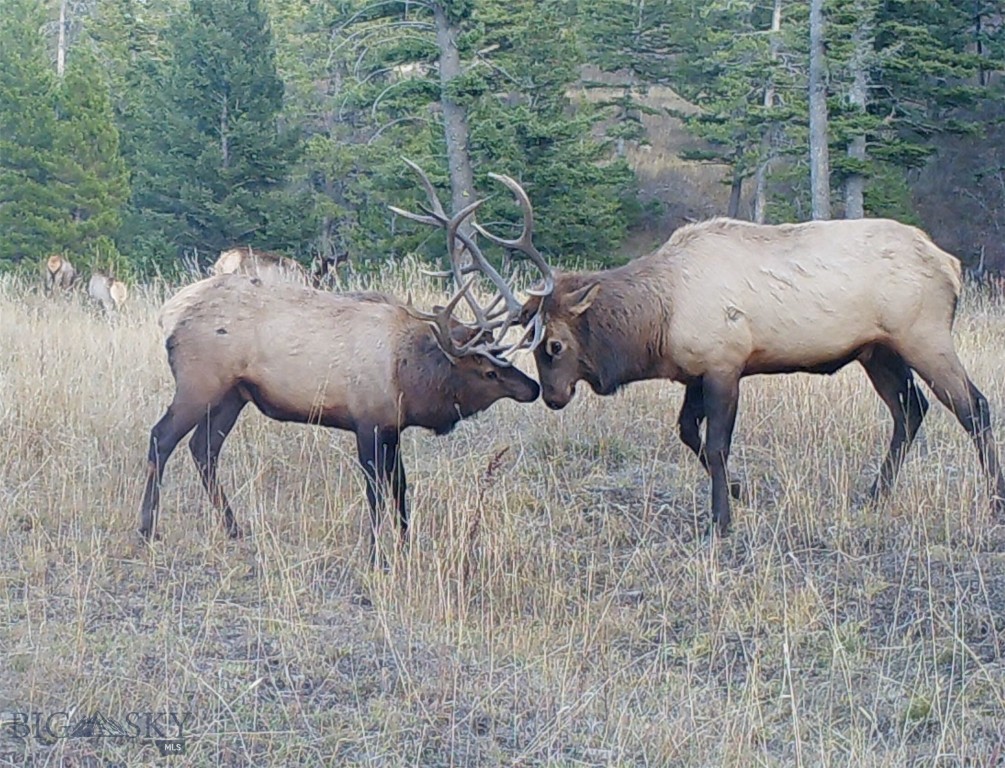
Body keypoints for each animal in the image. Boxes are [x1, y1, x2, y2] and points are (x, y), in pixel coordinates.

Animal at [139, 162, 548, 567]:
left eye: (503, 359)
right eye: (489, 371)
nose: (533, 387)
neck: (408, 374)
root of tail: (167, 314)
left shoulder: (392, 426)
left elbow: (400, 486)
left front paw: (405, 545)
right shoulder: (366, 421)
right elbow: (375, 491)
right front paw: (376, 556)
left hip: (234, 394)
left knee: (203, 449)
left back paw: (234, 528)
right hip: (199, 382)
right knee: (162, 437)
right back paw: (147, 529)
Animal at [469, 178, 1005, 536]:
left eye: (554, 345)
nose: (552, 397)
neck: (659, 320)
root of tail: (952, 265)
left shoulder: (726, 364)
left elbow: (717, 444)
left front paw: (720, 521)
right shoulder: (693, 374)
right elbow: (689, 433)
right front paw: (740, 492)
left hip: (924, 335)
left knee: (974, 407)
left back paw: (994, 499)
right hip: (877, 351)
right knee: (911, 410)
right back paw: (874, 494)